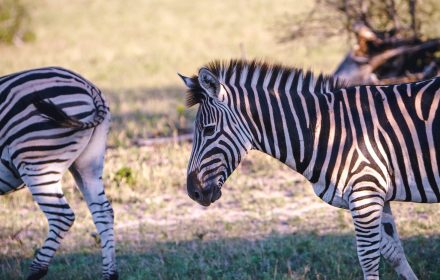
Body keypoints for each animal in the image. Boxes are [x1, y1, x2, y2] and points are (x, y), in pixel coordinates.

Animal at [0, 68, 117, 280]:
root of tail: (89, 87)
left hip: (37, 162)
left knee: (62, 216)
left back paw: (36, 271)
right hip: (88, 165)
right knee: (104, 211)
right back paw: (110, 274)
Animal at [179, 59, 440, 280]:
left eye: (209, 130)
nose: (193, 192)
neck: (329, 130)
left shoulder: (365, 192)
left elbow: (368, 259)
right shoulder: (377, 194)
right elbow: (394, 253)